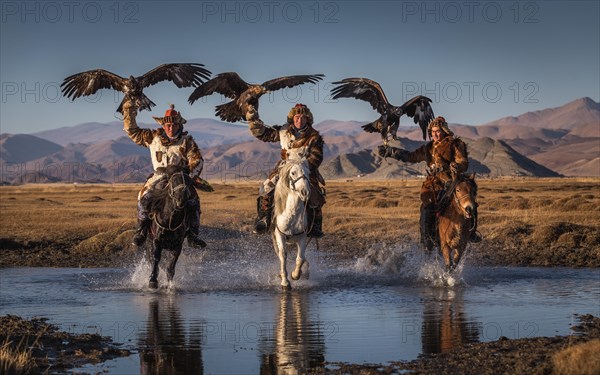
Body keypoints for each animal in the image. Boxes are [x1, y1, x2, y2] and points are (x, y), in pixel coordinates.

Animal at [270, 159, 310, 290]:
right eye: (293, 173)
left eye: (309, 172)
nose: (305, 192)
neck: (292, 216)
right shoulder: (280, 235)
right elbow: (283, 255)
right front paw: (285, 282)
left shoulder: (302, 236)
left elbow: (300, 258)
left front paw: (295, 275)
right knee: (279, 253)